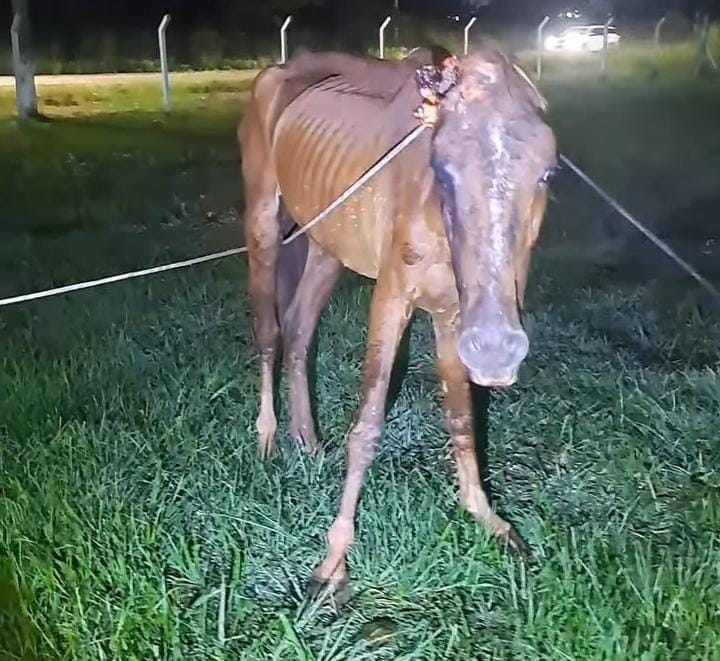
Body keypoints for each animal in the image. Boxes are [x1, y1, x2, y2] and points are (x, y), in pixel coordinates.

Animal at [239, 46, 557, 599]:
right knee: (271, 332)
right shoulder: (392, 295)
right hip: (263, 223)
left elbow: (462, 416)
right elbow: (367, 423)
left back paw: (308, 439)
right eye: (442, 169)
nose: (498, 352)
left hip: (326, 242)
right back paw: (269, 437)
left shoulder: (454, 312)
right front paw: (334, 559)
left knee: (300, 328)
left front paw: (487, 518)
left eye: (547, 175)